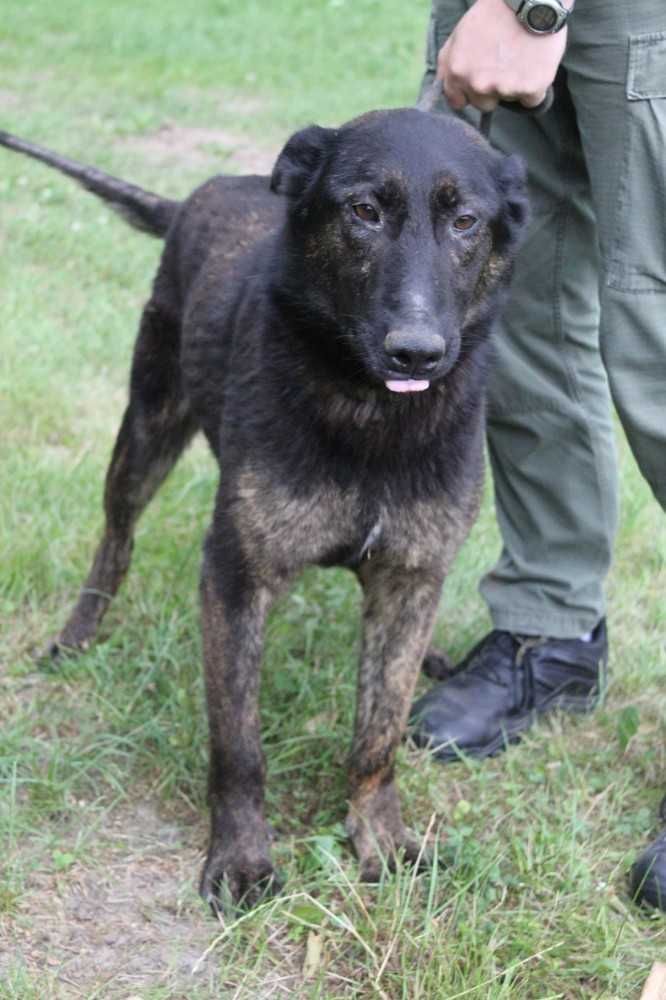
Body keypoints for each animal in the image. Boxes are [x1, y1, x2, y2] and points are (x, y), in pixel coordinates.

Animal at [1, 111, 528, 916]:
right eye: (363, 211)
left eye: (465, 221)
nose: (416, 353)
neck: (371, 417)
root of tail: (204, 191)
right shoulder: (234, 578)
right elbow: (239, 746)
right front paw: (243, 858)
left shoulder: (409, 577)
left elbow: (378, 735)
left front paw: (381, 838)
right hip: (147, 430)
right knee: (116, 538)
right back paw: (79, 632)